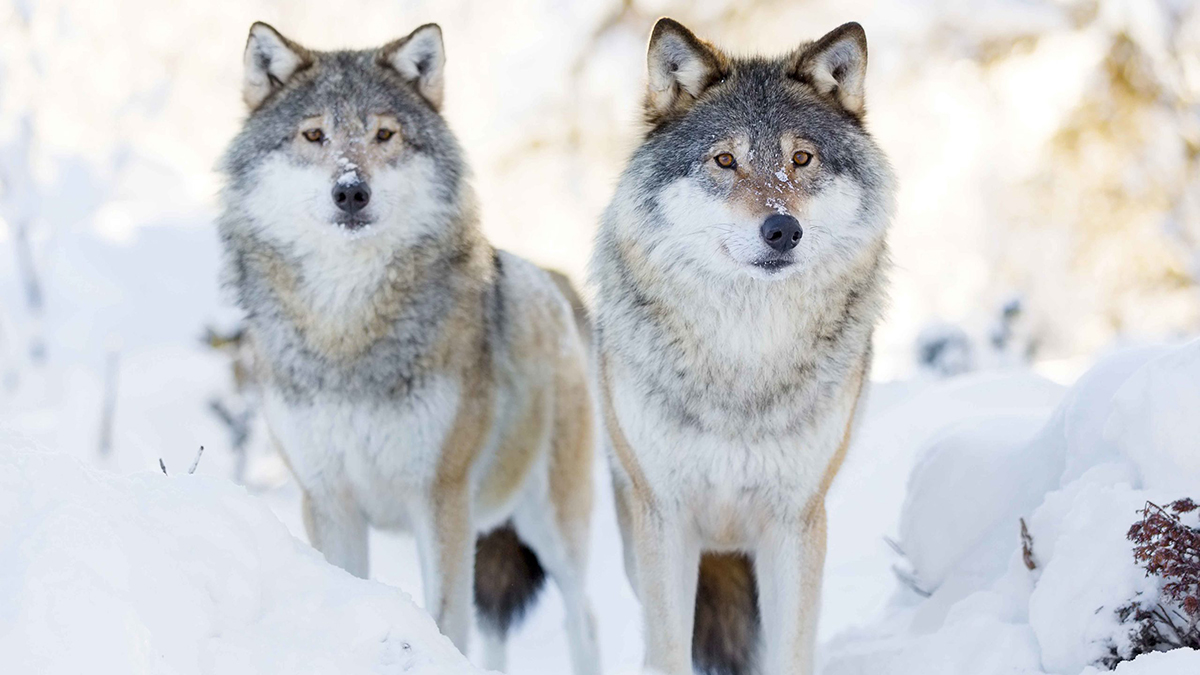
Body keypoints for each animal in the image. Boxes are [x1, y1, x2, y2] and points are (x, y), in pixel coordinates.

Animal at [217, 22, 600, 672]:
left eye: (384, 134)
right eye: (314, 135)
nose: (351, 191)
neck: (347, 331)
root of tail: (552, 281)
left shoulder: (440, 496)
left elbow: (445, 622)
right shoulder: (329, 500)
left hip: (554, 529)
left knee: (584, 623)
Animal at [590, 15, 892, 672]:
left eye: (801, 158)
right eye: (725, 160)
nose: (782, 229)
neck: (745, 358)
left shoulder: (795, 522)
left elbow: (790, 652)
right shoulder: (665, 518)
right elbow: (668, 651)